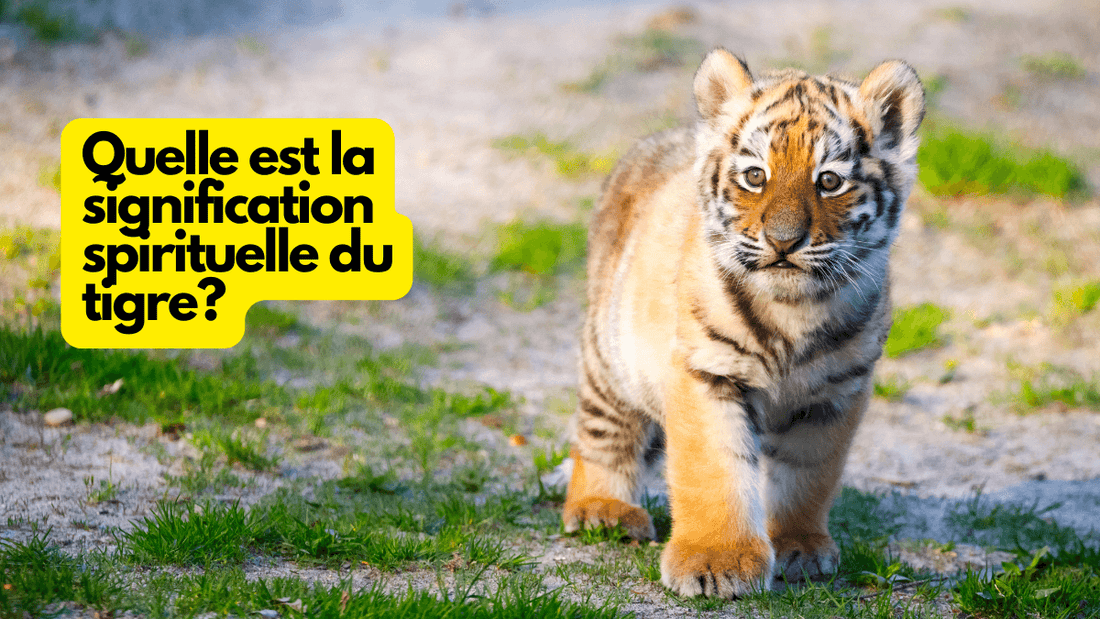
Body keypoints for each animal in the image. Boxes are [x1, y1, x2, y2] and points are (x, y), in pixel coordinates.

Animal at [561, 49, 924, 597]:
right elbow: (715, 471)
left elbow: (808, 476)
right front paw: (716, 562)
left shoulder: (835, 394)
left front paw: (798, 547)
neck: (794, 309)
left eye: (829, 181)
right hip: (611, 360)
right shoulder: (707, 373)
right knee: (603, 434)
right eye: (756, 176)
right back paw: (603, 509)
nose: (784, 241)